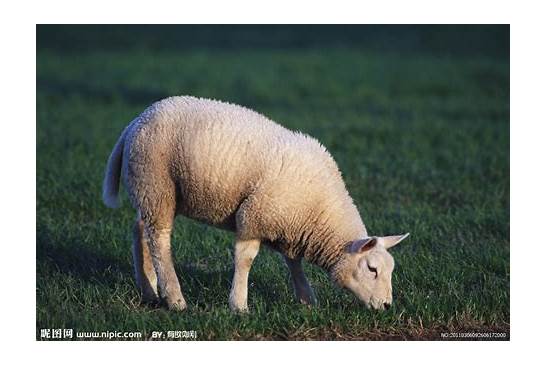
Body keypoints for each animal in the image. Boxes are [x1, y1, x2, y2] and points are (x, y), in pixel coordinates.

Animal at [103, 95, 408, 312]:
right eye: (372, 269)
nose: (386, 306)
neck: (321, 216)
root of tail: (136, 121)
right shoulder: (255, 216)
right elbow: (246, 259)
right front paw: (239, 305)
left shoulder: (289, 223)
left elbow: (293, 262)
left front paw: (307, 299)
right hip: (157, 183)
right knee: (160, 241)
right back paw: (175, 298)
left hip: (150, 190)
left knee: (141, 231)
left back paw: (149, 290)